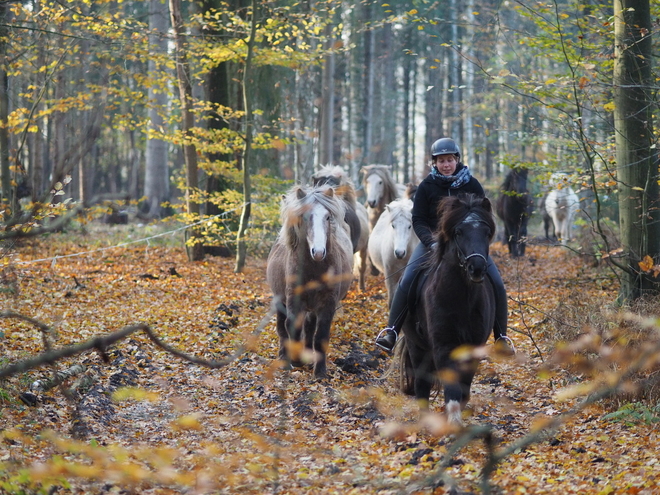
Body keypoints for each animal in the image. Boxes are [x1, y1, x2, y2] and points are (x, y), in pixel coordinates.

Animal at [394, 194, 498, 426]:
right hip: (417, 346)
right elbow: (451, 387)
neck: (462, 299)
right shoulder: (443, 346)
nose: (477, 268)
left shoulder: (473, 347)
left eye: (487, 232)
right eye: (459, 232)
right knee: (421, 384)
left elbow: (464, 389)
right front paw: (452, 423)